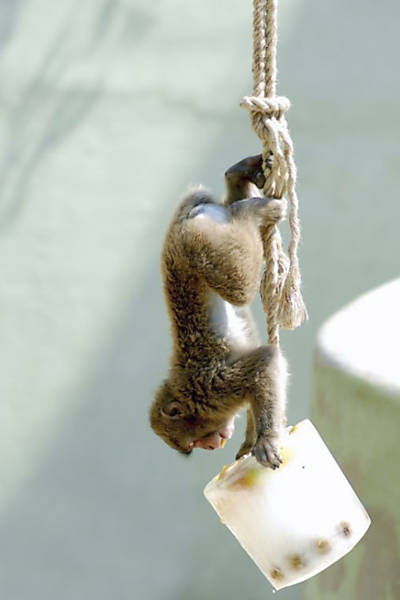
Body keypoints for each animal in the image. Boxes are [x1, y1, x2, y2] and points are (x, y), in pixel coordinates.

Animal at [150, 154, 288, 468]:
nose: (213, 446)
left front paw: (266, 439)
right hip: (209, 235)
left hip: (198, 245)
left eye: (195, 441)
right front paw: (250, 443)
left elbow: (264, 363)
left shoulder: (213, 387)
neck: (187, 390)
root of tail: (178, 225)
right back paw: (238, 177)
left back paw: (250, 213)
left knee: (239, 287)